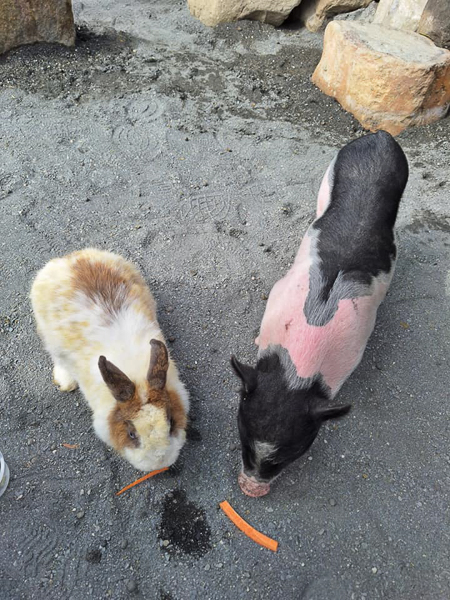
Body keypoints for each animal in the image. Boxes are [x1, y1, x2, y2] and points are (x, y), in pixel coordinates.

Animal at [29, 246, 188, 472]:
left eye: (172, 423)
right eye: (131, 434)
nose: (159, 463)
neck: (137, 378)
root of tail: (70, 258)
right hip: (48, 337)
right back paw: (65, 382)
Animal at [232, 131, 408, 496]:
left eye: (288, 456)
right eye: (244, 441)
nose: (250, 490)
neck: (298, 370)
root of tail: (382, 136)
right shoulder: (279, 293)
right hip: (329, 173)